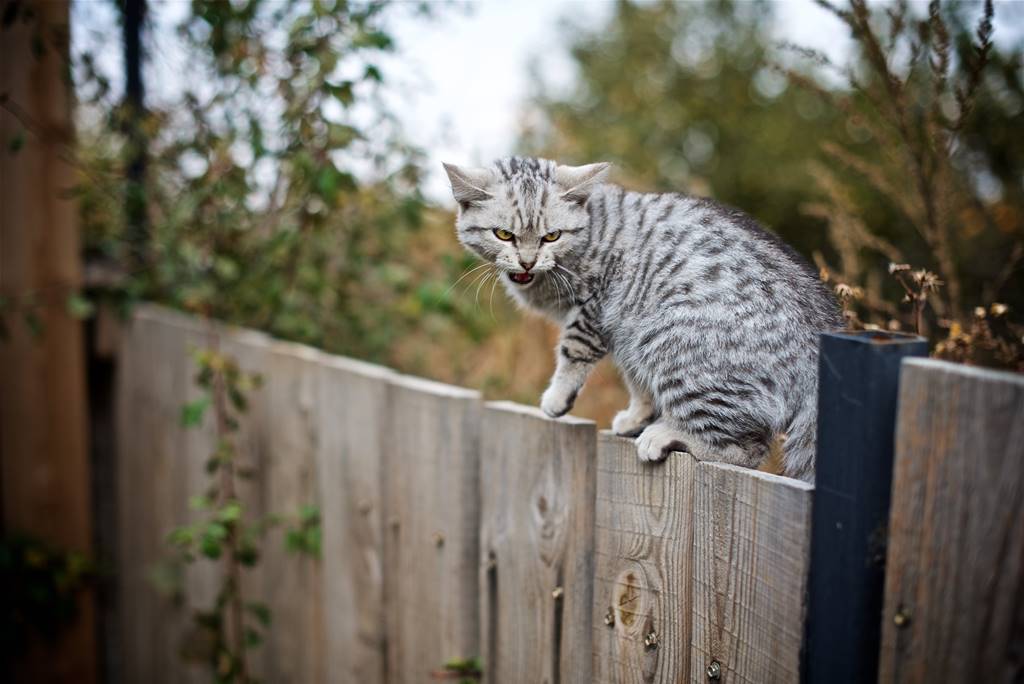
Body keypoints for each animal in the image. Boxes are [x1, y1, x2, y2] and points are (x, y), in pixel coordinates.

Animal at [444, 156, 843, 481]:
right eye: (504, 235)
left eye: (551, 236)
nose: (527, 262)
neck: (592, 226)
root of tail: (821, 335)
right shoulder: (624, 330)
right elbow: (636, 382)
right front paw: (637, 415)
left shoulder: (595, 308)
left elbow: (572, 353)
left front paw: (557, 398)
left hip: (673, 344)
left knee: (747, 448)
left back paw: (668, 435)